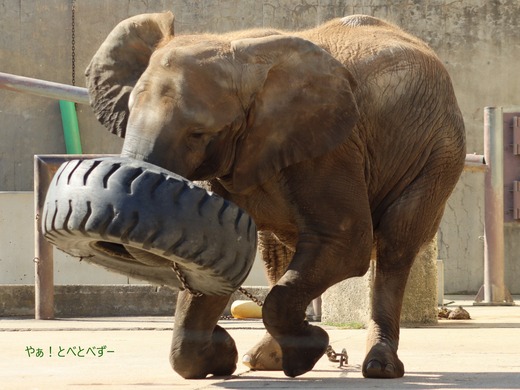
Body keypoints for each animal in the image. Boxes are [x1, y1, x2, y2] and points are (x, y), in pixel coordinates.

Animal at [86, 12, 468, 380]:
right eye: (130, 114)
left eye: (199, 133)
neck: (238, 50)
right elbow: (216, 248)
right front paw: (220, 357)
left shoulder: (332, 147)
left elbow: (348, 244)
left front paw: (308, 351)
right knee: (278, 252)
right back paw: (261, 360)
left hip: (438, 154)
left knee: (395, 246)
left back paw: (378, 367)